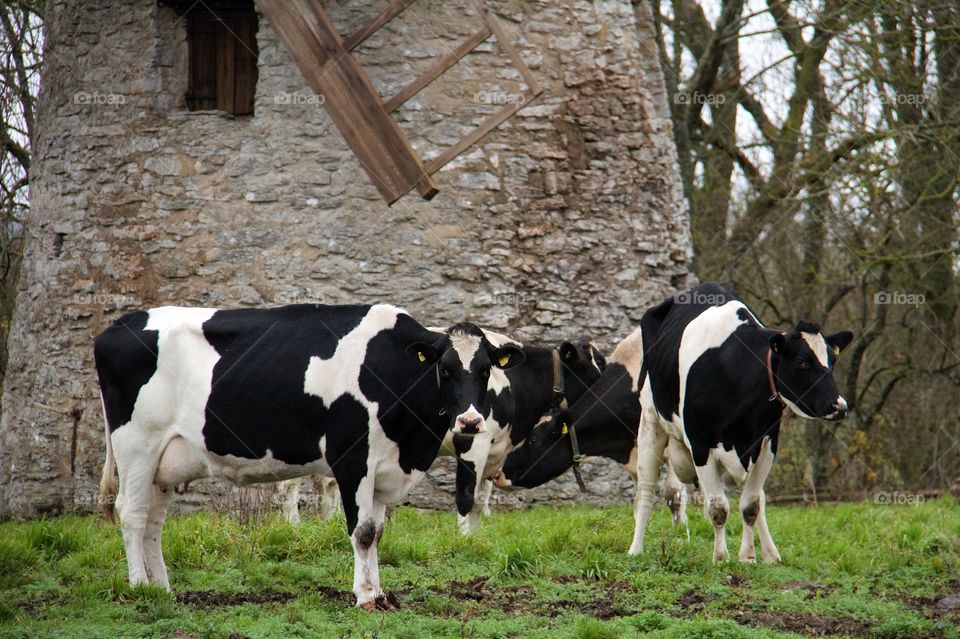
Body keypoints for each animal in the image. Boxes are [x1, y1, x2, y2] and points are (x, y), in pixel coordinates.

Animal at [97, 304, 524, 608]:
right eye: (445, 369)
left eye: (485, 370)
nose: (470, 421)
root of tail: (119, 324)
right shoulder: (352, 459)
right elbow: (362, 532)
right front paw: (365, 598)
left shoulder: (383, 468)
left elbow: (378, 532)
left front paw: (380, 593)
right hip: (137, 446)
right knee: (132, 513)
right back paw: (139, 587)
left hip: (164, 461)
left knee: (154, 521)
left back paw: (162, 589)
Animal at [632, 282, 852, 564]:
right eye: (802, 361)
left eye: (832, 363)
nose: (839, 406)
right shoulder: (700, 445)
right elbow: (718, 507)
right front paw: (721, 557)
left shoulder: (767, 443)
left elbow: (751, 505)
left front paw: (748, 556)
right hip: (650, 422)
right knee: (646, 489)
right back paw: (636, 548)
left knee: (760, 498)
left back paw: (771, 554)